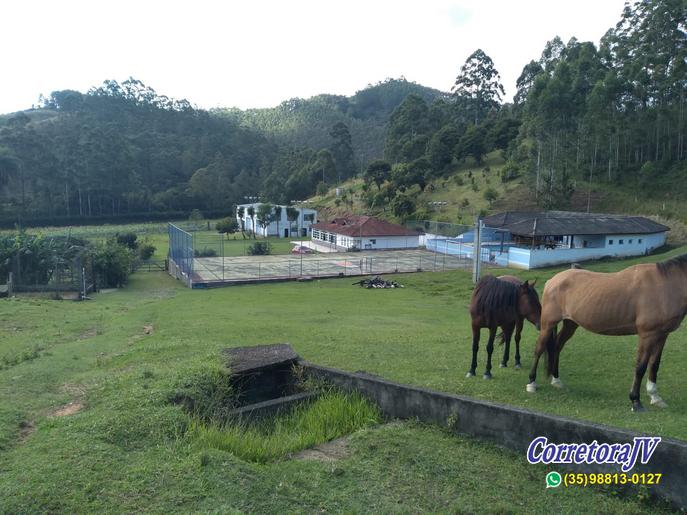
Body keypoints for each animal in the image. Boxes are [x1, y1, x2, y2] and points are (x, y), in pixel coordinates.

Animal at [528, 256, 687, 414]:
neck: (664, 284)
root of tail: (553, 280)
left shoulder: (662, 335)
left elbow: (654, 365)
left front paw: (655, 397)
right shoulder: (647, 335)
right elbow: (641, 367)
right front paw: (635, 401)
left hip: (570, 324)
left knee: (557, 346)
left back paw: (556, 380)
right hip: (548, 324)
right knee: (539, 349)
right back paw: (531, 383)